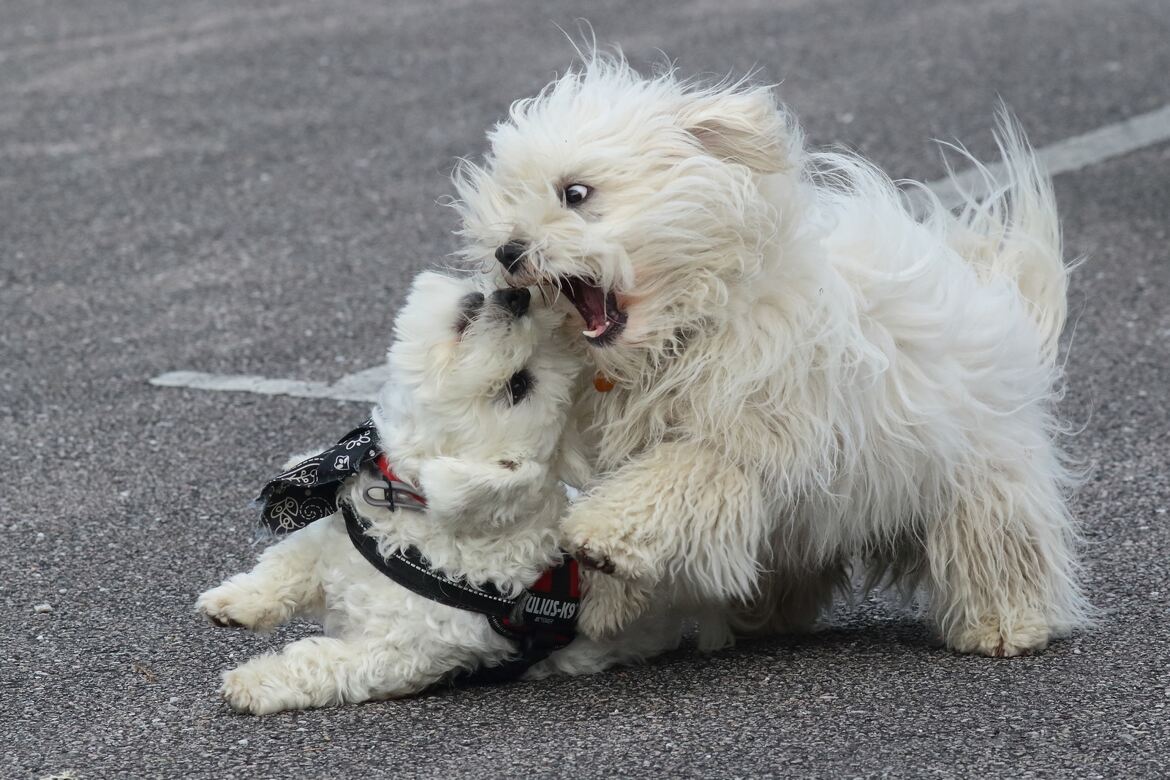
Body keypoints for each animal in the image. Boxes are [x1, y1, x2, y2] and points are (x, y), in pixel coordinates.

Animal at [451, 50, 1090, 659]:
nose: (508, 251)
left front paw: (603, 539)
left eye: (576, 193)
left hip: (979, 473)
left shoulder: (746, 437)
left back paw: (1003, 625)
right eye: (506, 201)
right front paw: (609, 600)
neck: (691, 325)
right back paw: (760, 614)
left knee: (996, 543)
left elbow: (673, 476)